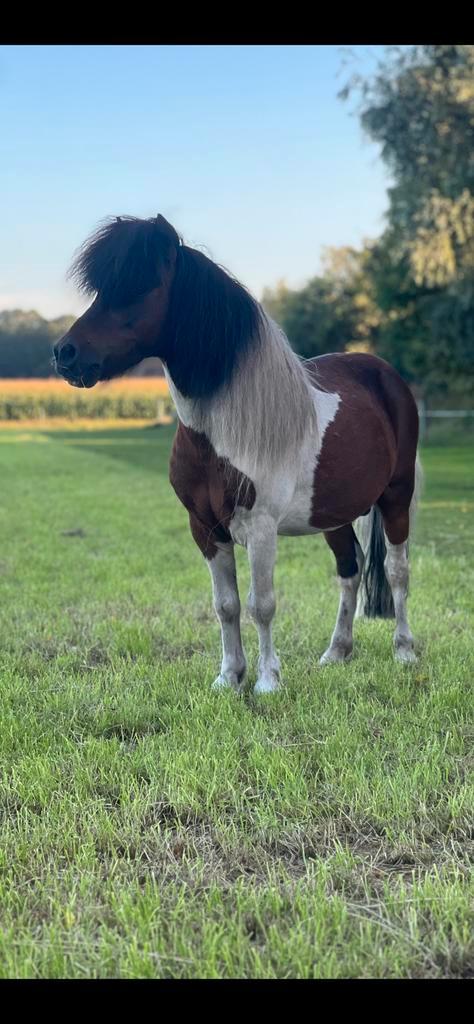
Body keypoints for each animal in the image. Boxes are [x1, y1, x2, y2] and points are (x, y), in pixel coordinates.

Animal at [54, 216, 423, 696]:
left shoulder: (260, 527)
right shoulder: (205, 528)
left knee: (397, 570)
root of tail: (385, 375)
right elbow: (225, 604)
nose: (65, 353)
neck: (222, 434)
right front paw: (229, 677)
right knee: (350, 569)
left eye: (138, 286)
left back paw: (405, 651)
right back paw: (337, 652)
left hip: (397, 497)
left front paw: (267, 681)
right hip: (334, 513)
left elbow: (261, 603)